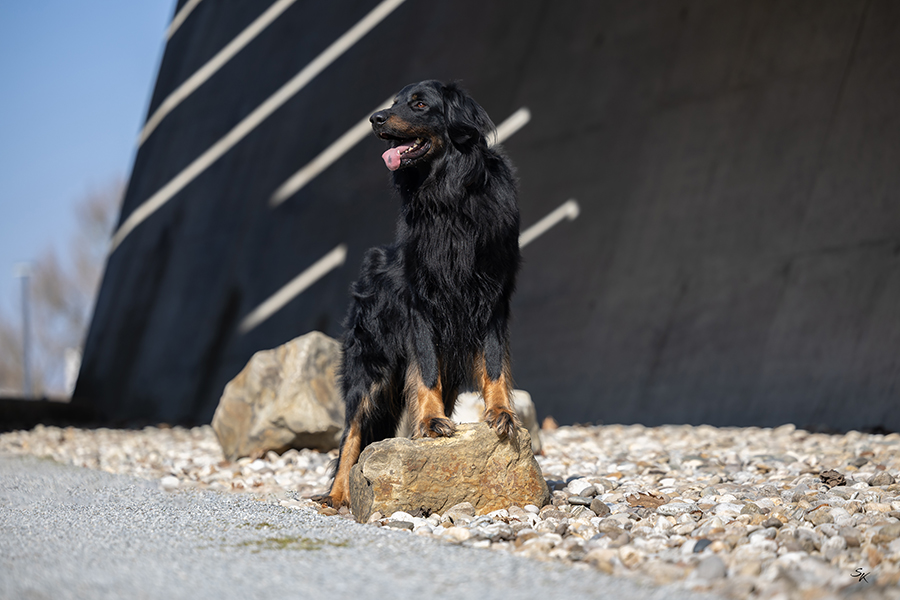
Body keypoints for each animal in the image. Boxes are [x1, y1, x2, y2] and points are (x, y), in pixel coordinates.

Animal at [316, 80, 521, 508]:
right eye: (395, 102)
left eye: (420, 104)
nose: (375, 118)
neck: (449, 193)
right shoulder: (421, 305)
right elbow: (425, 370)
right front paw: (430, 421)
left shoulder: (494, 300)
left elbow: (495, 364)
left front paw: (501, 413)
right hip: (370, 366)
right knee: (351, 433)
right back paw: (340, 494)